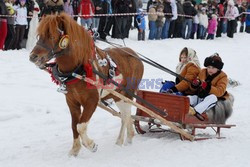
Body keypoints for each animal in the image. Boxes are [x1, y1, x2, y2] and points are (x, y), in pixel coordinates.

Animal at [28, 13, 145, 157]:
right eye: (39, 35)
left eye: (52, 36)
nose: (33, 56)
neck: (79, 69)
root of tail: (134, 55)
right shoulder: (72, 101)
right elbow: (74, 126)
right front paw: (74, 150)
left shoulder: (91, 101)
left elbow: (80, 126)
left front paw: (91, 145)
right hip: (118, 95)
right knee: (126, 116)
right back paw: (127, 138)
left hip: (126, 95)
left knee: (125, 116)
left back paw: (122, 140)